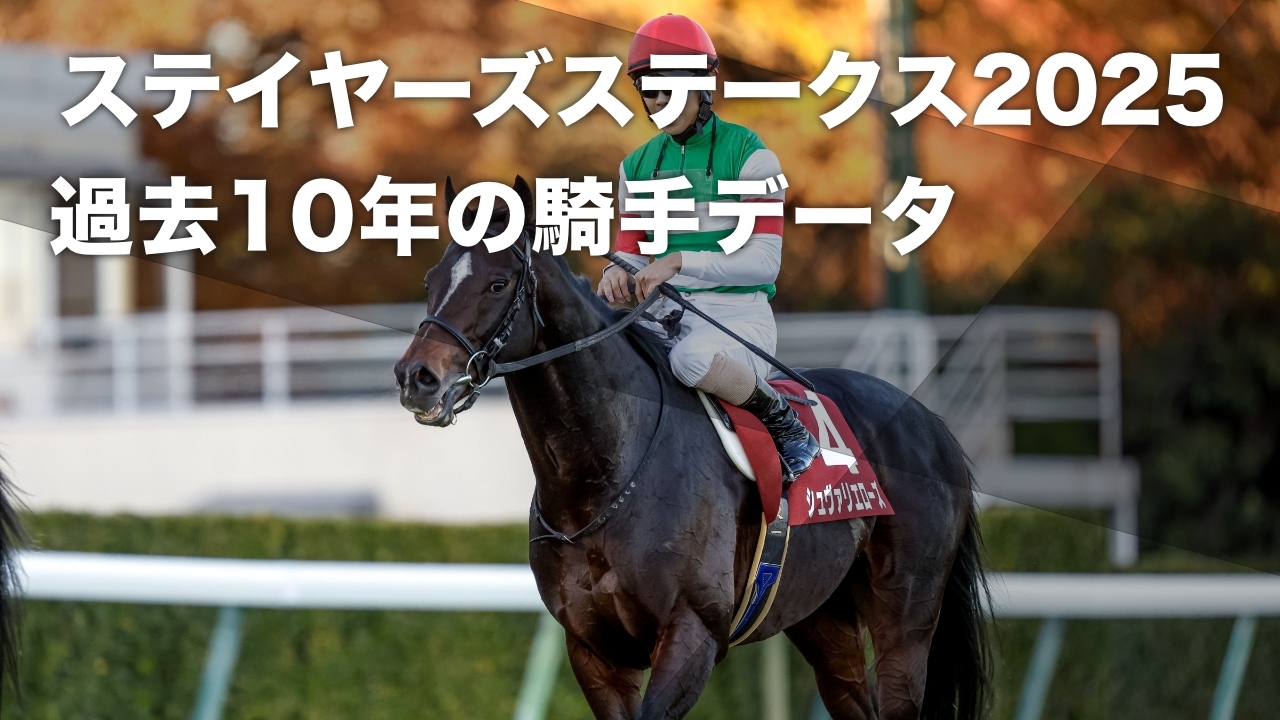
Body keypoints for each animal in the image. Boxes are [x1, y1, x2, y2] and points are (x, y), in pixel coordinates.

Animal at [394, 177, 990, 720]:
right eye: (430, 278)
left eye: (497, 283)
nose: (416, 377)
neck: (603, 476)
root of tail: (932, 423)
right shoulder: (592, 650)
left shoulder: (691, 634)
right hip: (822, 619)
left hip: (905, 617)